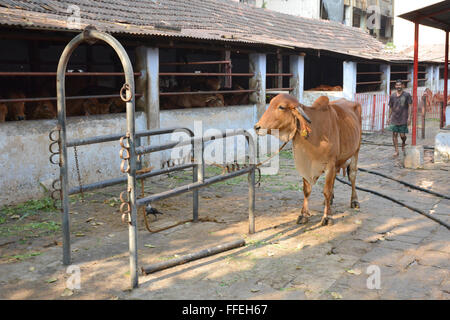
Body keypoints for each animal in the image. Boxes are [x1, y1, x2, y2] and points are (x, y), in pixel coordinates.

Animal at [253, 94, 362, 226]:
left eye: (281, 107)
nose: (257, 127)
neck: (315, 133)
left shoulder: (330, 164)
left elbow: (326, 191)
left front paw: (327, 216)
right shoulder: (305, 164)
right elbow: (307, 190)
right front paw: (303, 215)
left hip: (356, 150)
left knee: (352, 175)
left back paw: (354, 201)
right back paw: (330, 200)